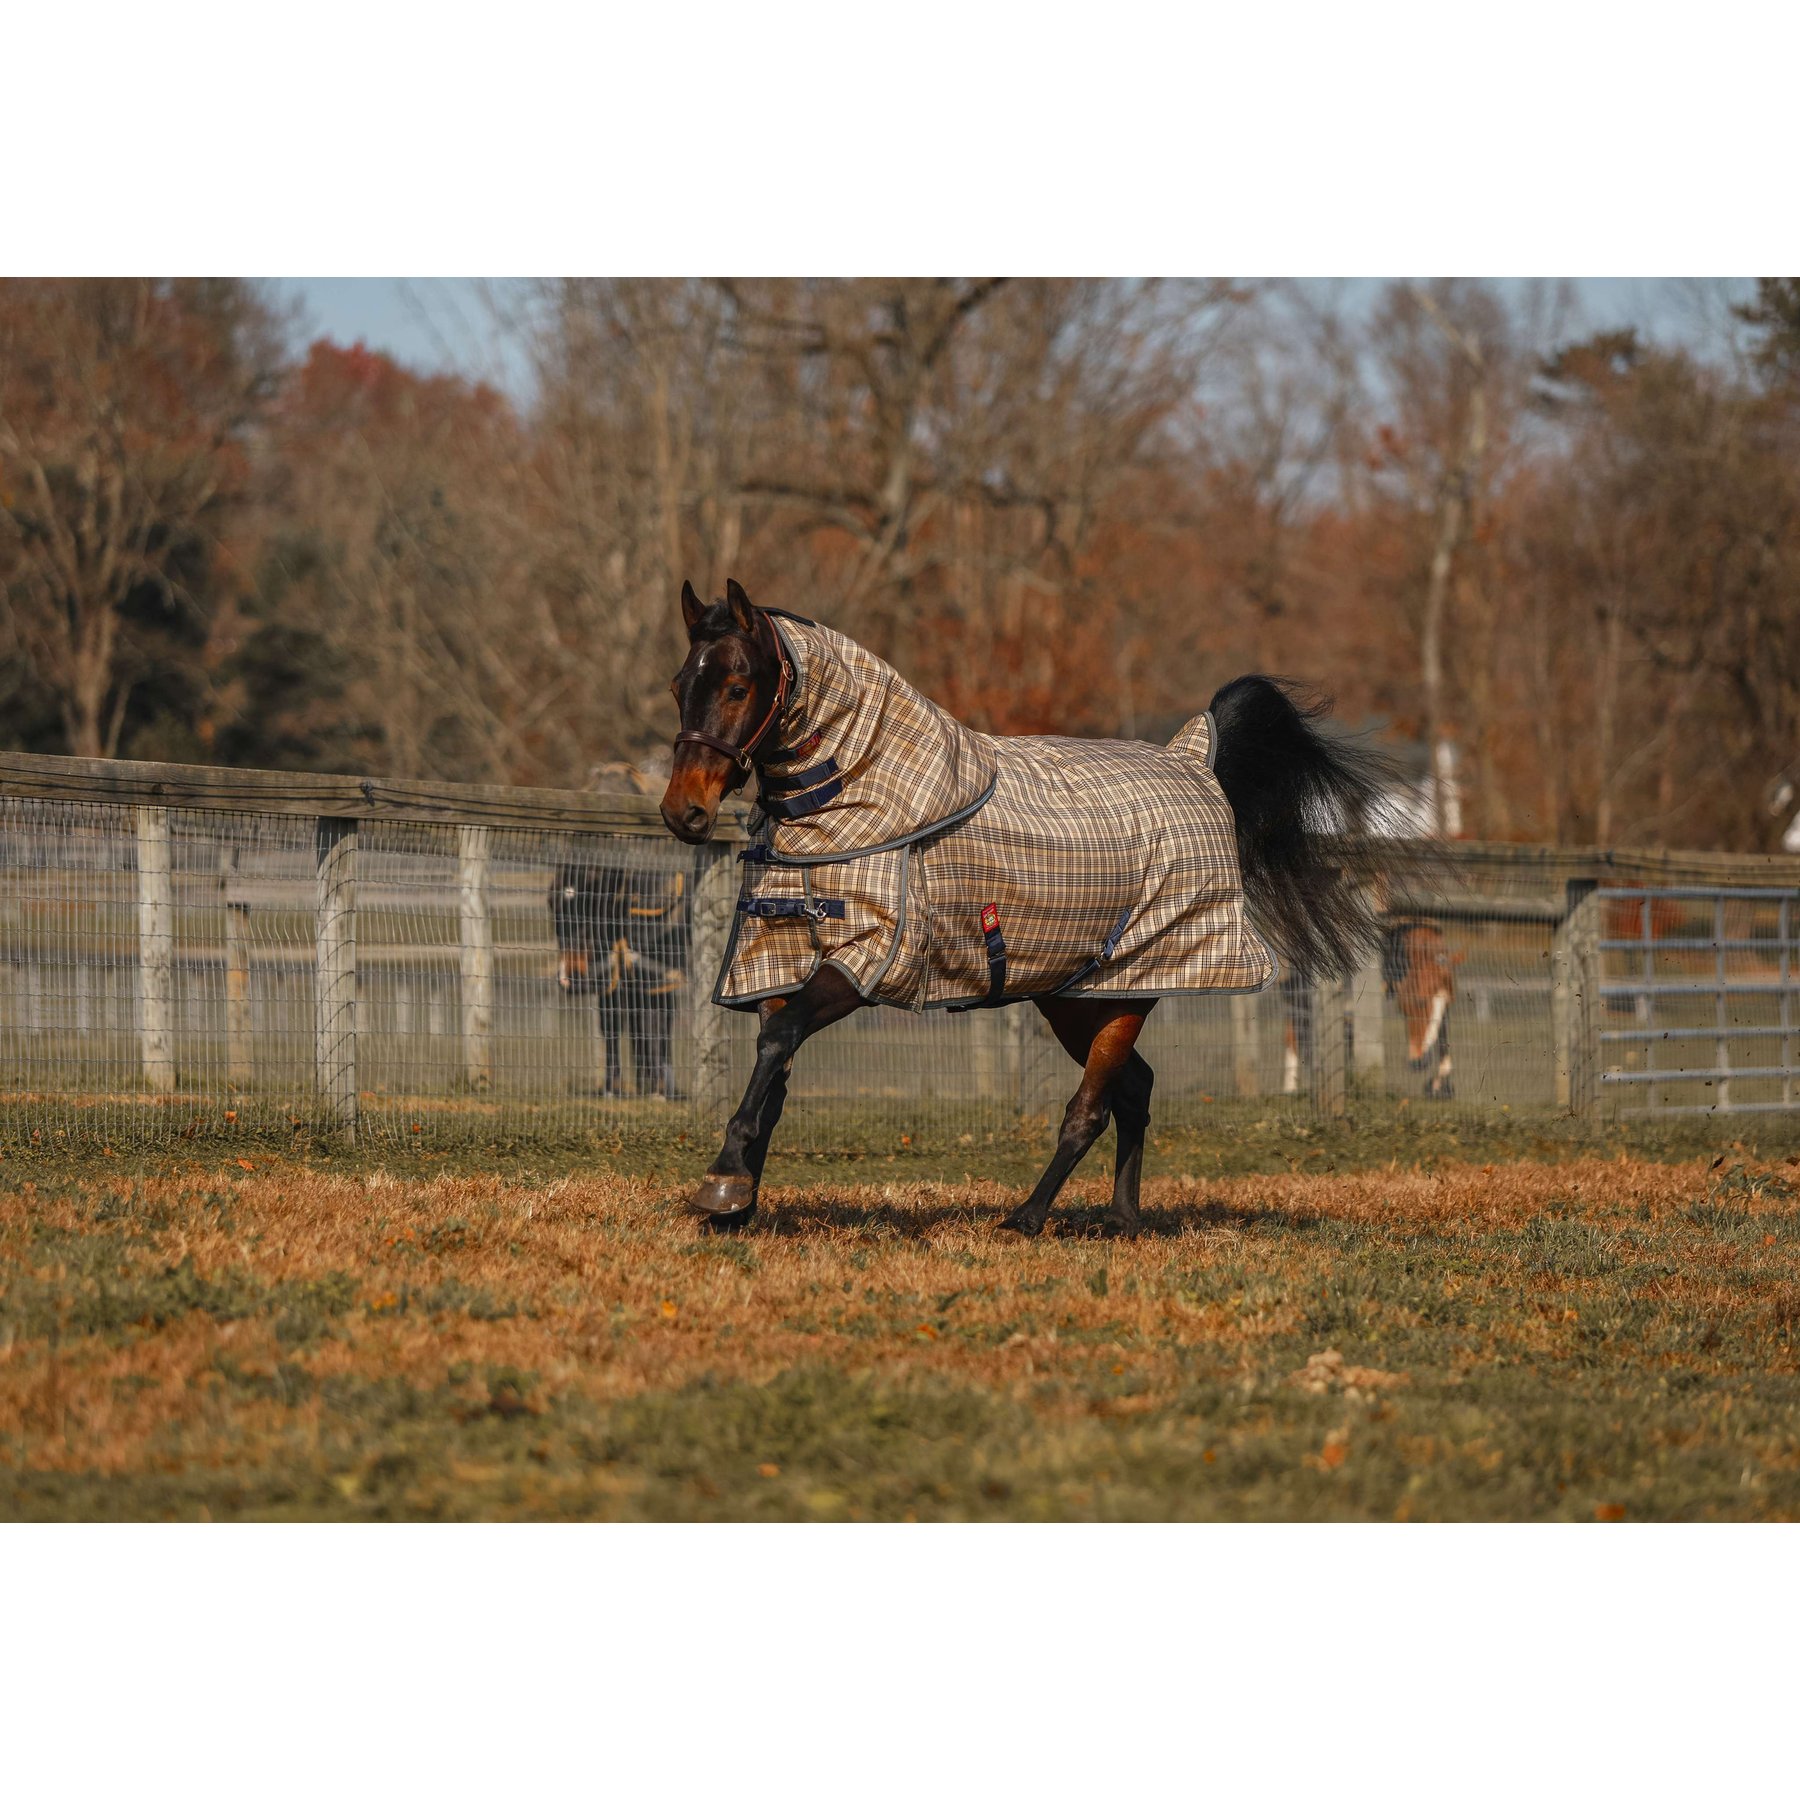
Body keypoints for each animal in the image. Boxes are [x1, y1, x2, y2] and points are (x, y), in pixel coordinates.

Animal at [550, 857, 690, 1100]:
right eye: (557, 917)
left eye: (593, 914)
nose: (569, 978)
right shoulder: (616, 980)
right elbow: (613, 1027)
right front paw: (613, 1087)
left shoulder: (659, 981)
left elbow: (655, 1024)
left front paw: (660, 1090)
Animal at [660, 578, 1393, 1236]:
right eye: (678, 687)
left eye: (736, 686)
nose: (682, 812)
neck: (857, 810)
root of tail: (1196, 763)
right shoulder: (777, 961)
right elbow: (775, 1068)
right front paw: (737, 1202)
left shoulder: (861, 963)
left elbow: (777, 1043)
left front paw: (723, 1183)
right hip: (1074, 997)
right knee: (1134, 1091)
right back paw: (1122, 1220)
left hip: (1129, 989)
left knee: (1092, 1109)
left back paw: (1029, 1217)